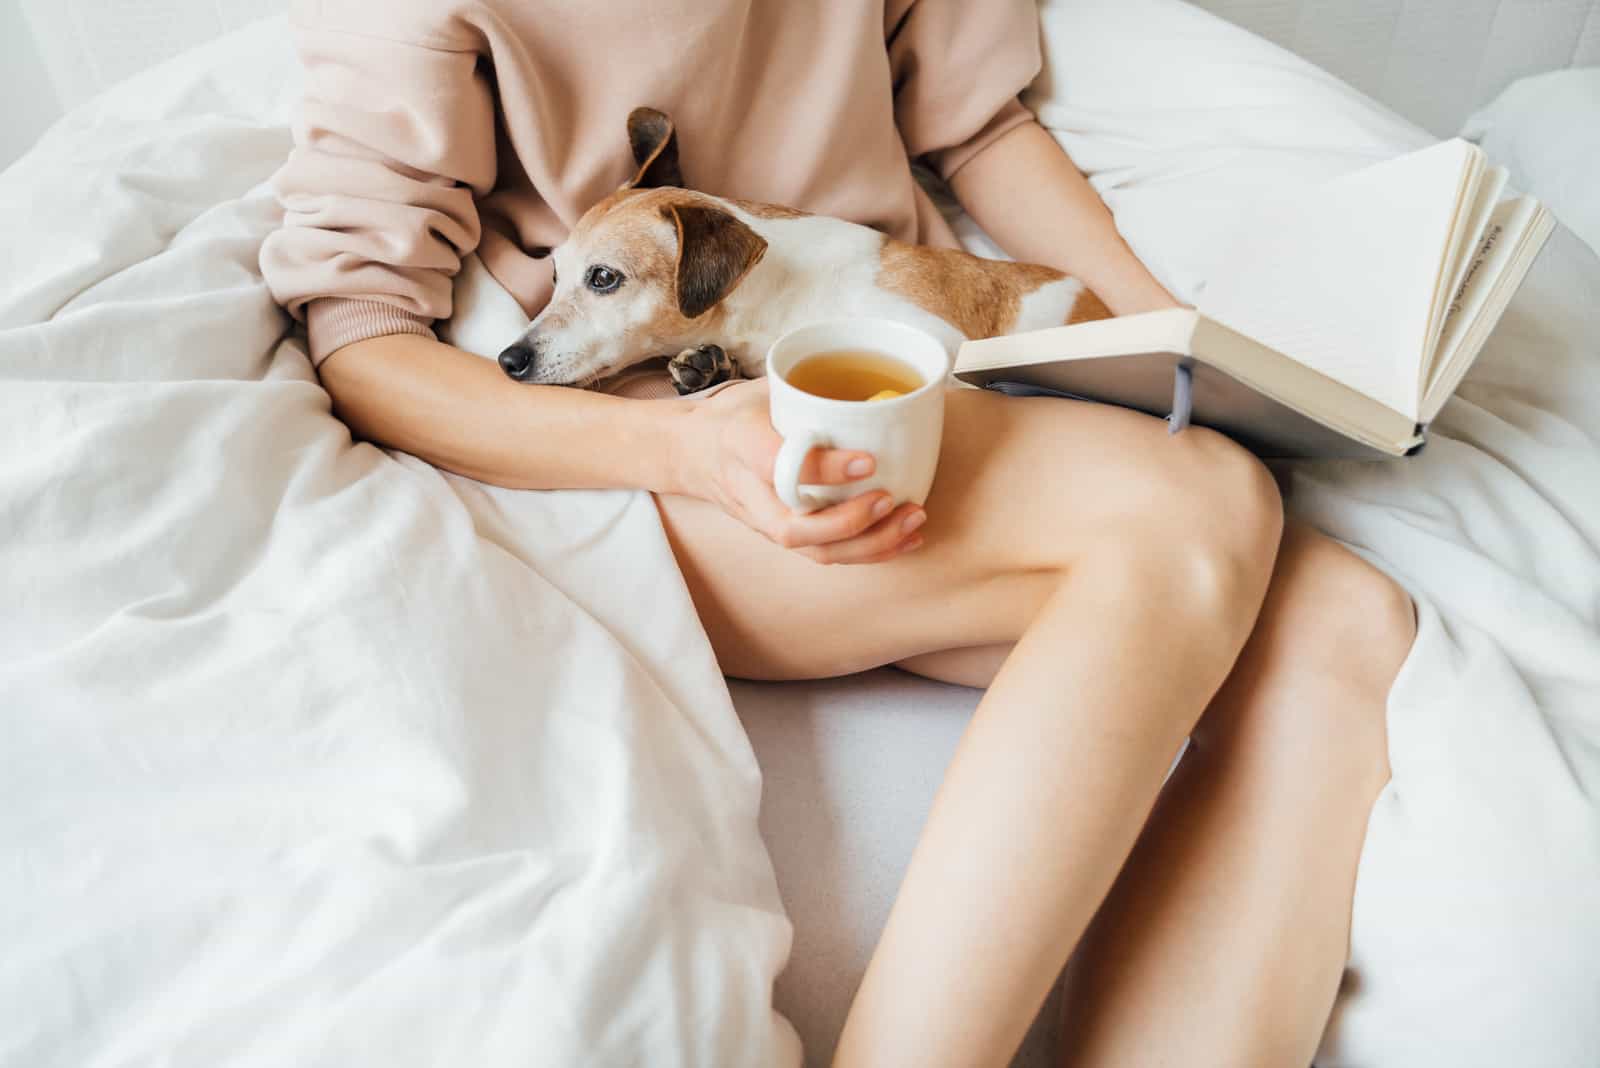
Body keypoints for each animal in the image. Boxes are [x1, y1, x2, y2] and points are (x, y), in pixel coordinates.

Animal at [499, 108, 1113, 394]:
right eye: (554, 277)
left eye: (603, 278)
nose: (508, 359)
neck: (781, 300)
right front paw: (706, 369)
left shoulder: (939, 343)